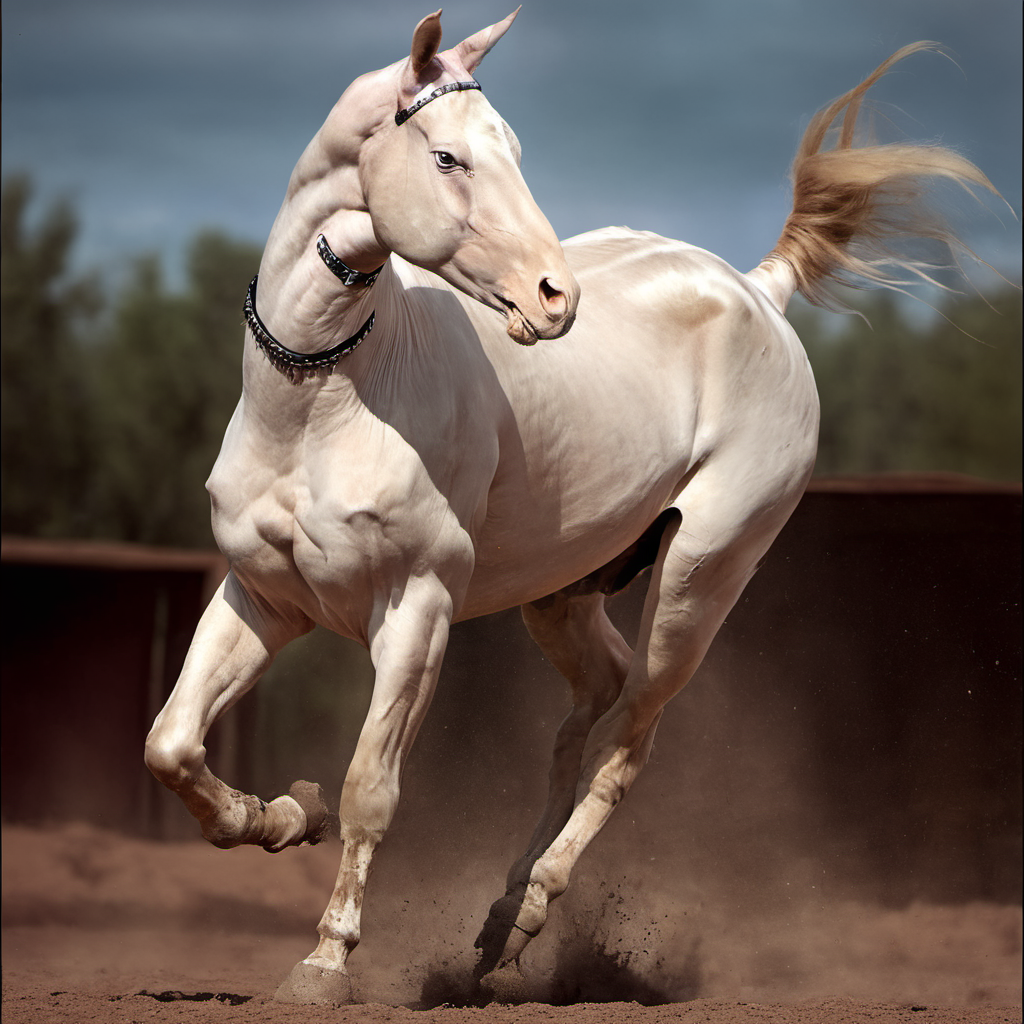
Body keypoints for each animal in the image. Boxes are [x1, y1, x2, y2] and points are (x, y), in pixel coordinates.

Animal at [144, 9, 997, 1005]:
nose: (556, 298)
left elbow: (371, 790)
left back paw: (526, 915)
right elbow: (173, 746)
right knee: (590, 708)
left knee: (629, 741)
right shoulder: (263, 599)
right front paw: (283, 814)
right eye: (448, 157)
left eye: (512, 150)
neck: (326, 397)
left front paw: (324, 962)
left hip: (701, 581)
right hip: (562, 596)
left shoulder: (417, 611)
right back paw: (500, 913)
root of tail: (759, 291)